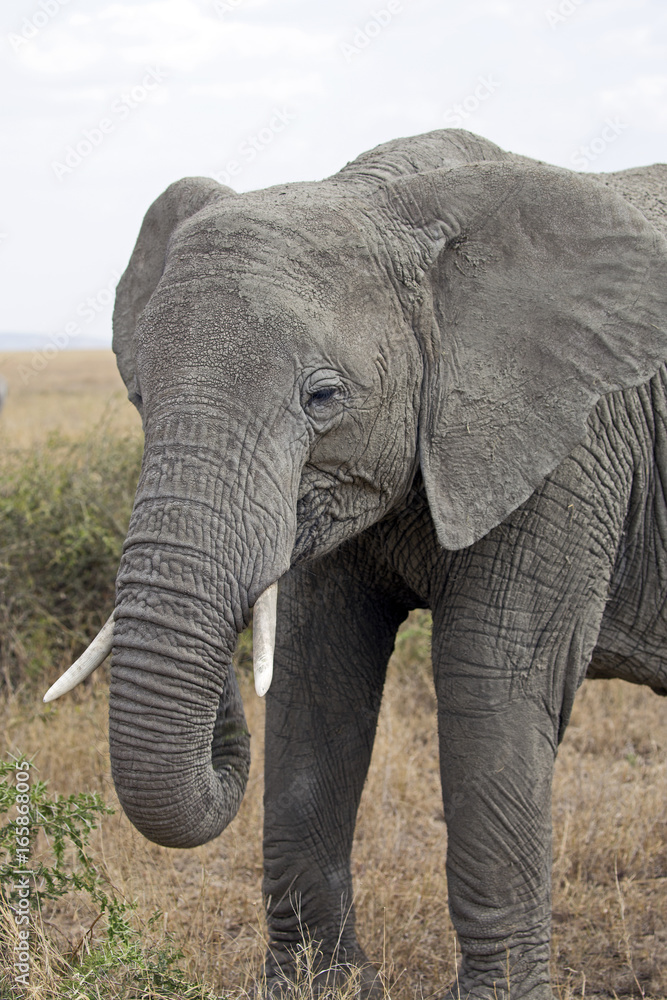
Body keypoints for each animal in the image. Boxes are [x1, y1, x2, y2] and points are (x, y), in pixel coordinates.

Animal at [46, 129, 667, 999]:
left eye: (323, 397)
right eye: (138, 396)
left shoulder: (569, 449)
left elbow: (493, 684)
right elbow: (316, 677)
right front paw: (321, 988)